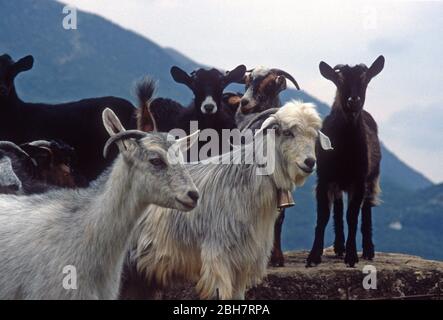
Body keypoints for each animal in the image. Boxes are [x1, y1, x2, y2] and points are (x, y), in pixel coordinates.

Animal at [308, 55, 386, 268]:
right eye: (339, 80)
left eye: (365, 80)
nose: (354, 100)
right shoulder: (324, 179)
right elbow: (323, 216)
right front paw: (313, 256)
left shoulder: (358, 180)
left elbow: (352, 216)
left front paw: (352, 256)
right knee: (338, 207)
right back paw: (338, 246)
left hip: (371, 177)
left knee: (366, 208)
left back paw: (367, 250)